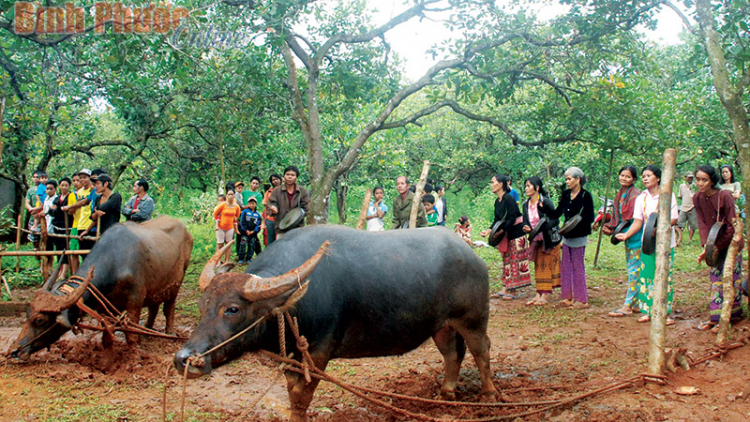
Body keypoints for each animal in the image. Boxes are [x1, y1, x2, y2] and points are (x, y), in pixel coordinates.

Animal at [10, 214, 192, 360]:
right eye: (27, 314)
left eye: (39, 320)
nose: (15, 351)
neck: (116, 262)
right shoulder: (104, 308)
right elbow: (106, 336)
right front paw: (107, 360)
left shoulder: (135, 302)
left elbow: (131, 336)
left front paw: (133, 357)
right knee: (154, 306)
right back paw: (147, 330)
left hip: (176, 283)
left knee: (169, 308)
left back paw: (169, 332)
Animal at [176, 226, 500, 422]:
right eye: (202, 307)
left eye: (232, 309)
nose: (185, 359)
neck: (294, 302)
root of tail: (473, 256)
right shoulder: (293, 354)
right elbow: (291, 390)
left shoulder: (317, 353)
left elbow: (301, 396)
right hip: (441, 325)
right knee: (452, 354)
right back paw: (446, 394)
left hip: (472, 319)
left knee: (481, 350)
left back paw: (488, 395)